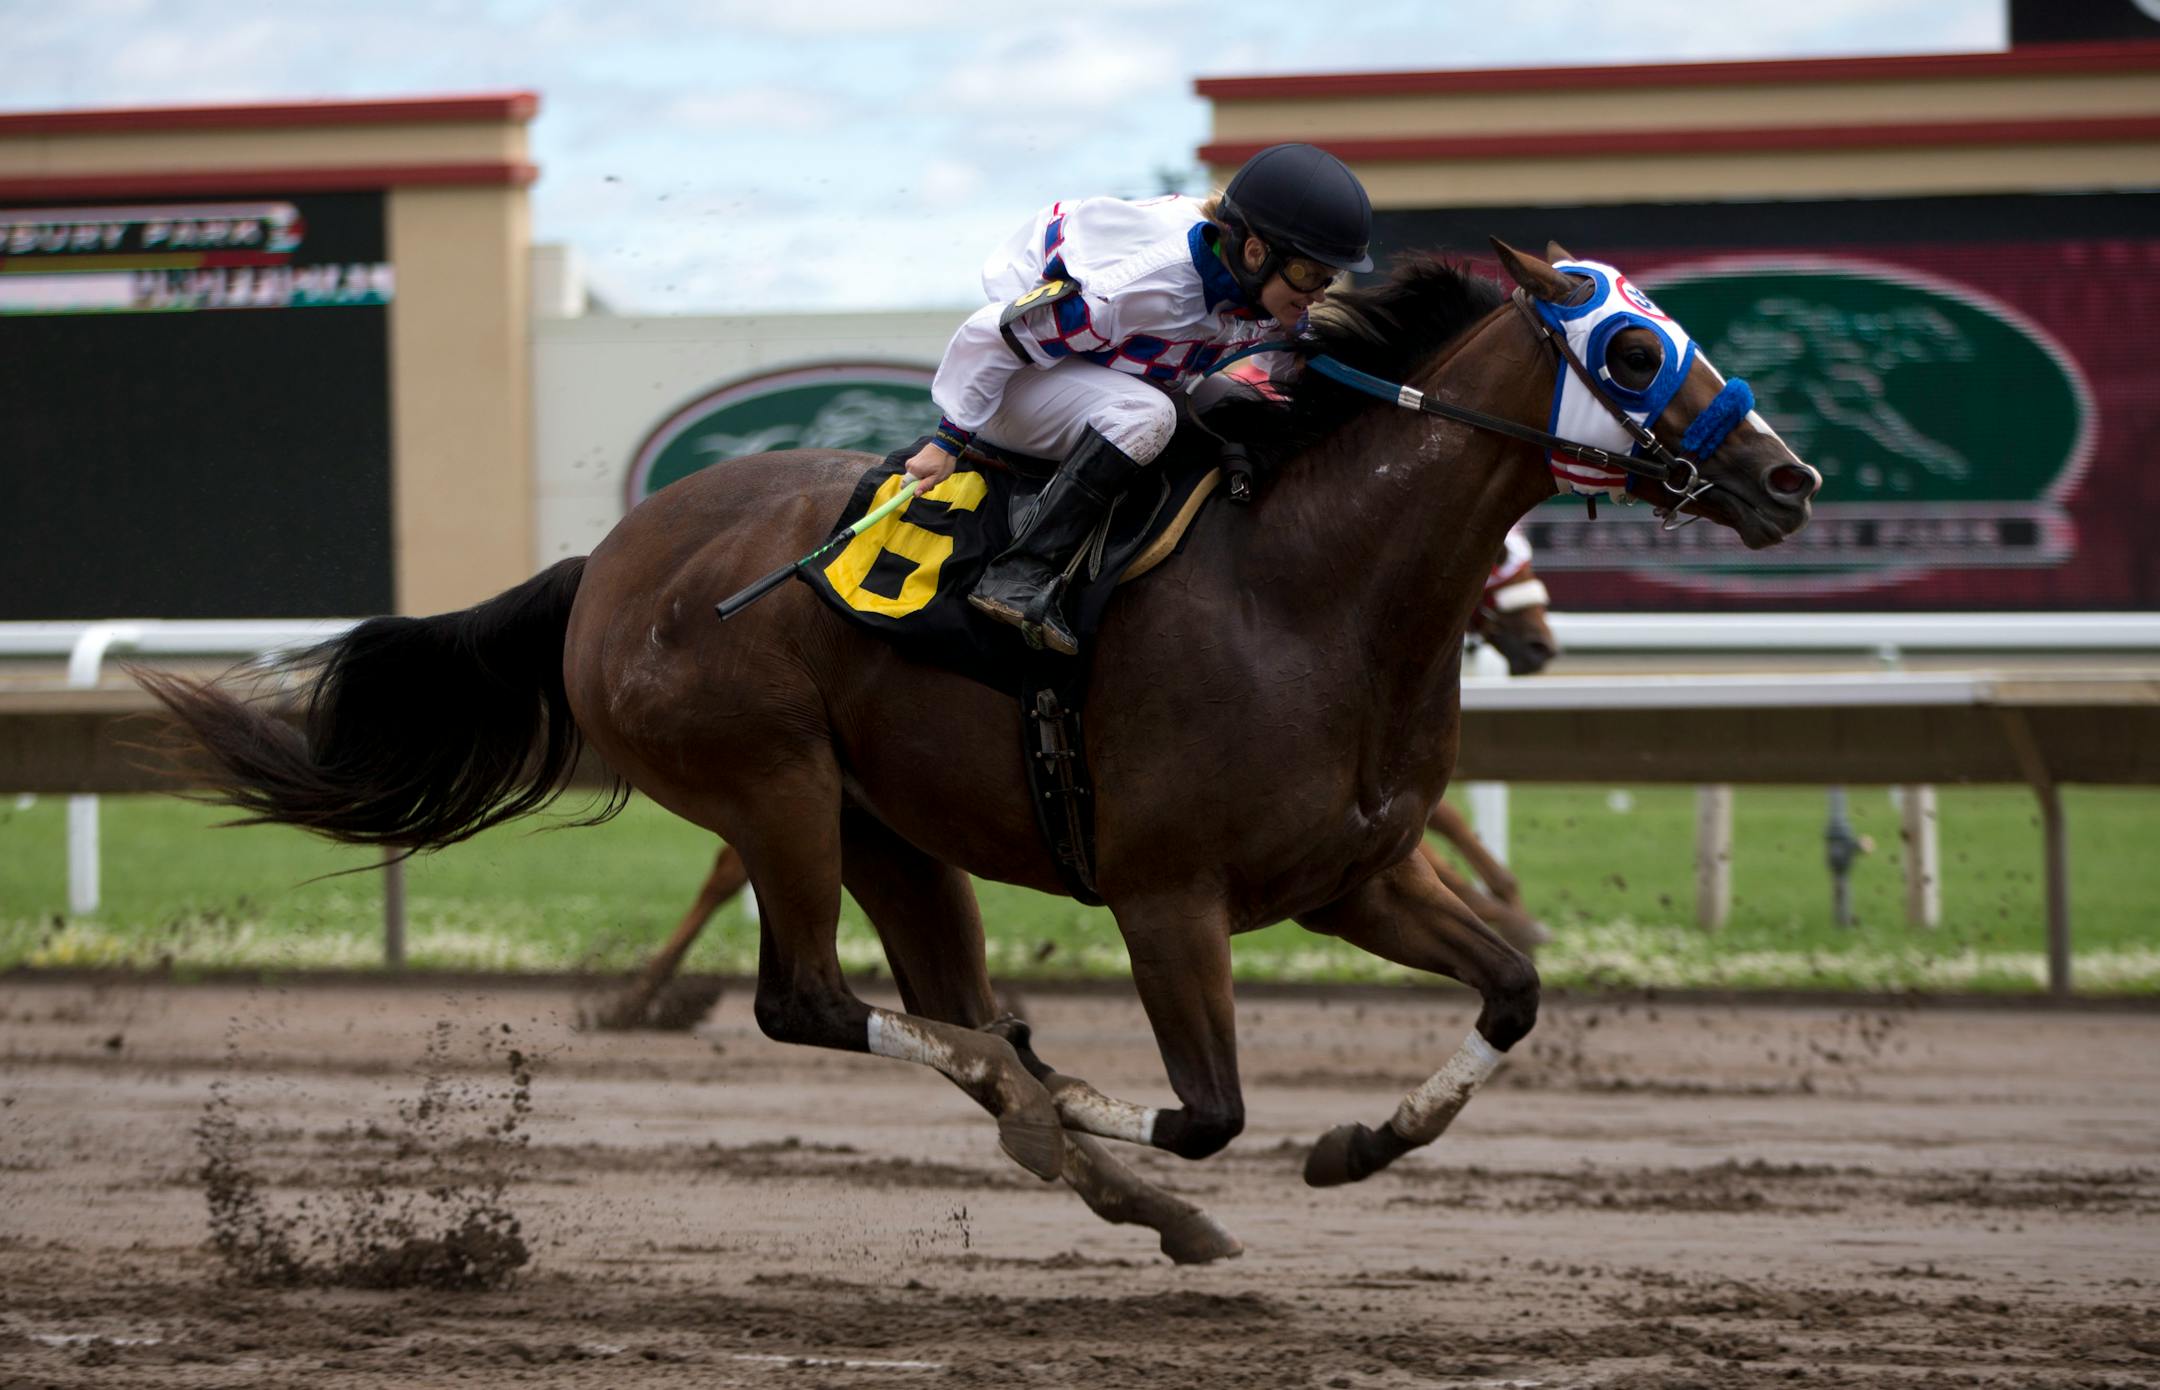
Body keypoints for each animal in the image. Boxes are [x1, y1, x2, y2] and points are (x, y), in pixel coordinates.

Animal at [591, 528, 1563, 1029]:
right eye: (1503, 555)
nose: (1541, 642)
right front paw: (1515, 901)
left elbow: (1440, 826)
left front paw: (1511, 904)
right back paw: (637, 996)